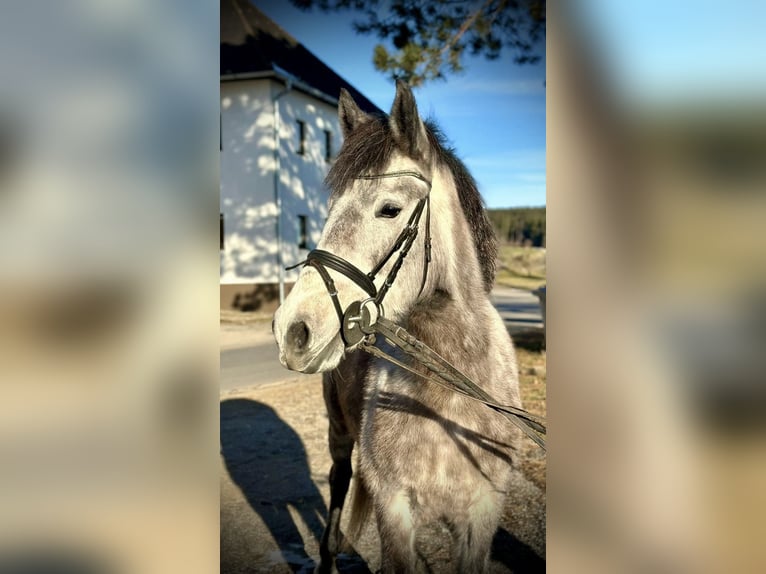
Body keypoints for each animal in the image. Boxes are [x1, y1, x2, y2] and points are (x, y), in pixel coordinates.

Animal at [272, 82, 524, 574]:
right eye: (328, 211)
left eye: (389, 210)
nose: (292, 330)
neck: (446, 399)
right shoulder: (395, 513)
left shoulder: (481, 518)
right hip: (338, 433)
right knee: (338, 486)